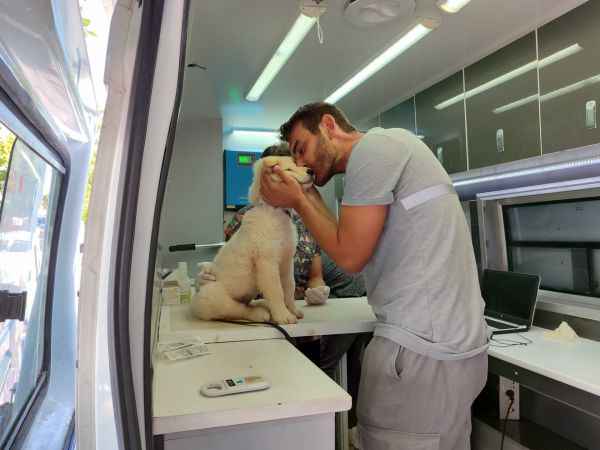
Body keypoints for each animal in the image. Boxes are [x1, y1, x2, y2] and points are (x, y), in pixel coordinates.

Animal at [191, 156, 314, 326]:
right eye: (289, 170)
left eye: (296, 164)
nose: (311, 171)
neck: (276, 212)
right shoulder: (267, 263)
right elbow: (276, 291)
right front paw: (283, 315)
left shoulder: (286, 262)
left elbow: (289, 288)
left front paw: (292, 310)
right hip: (211, 297)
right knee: (236, 310)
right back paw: (260, 313)